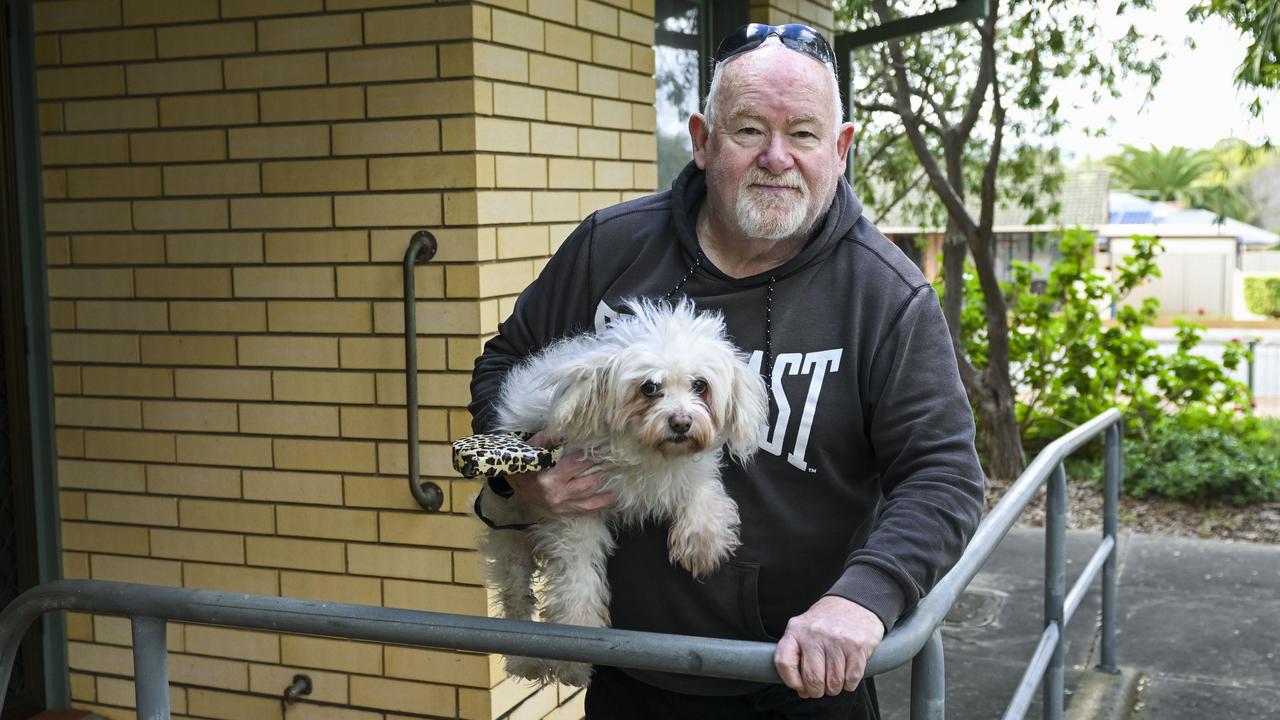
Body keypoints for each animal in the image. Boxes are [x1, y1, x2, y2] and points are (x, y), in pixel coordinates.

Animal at [476, 297, 762, 681]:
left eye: (700, 385)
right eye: (649, 387)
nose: (681, 422)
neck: (646, 453)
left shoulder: (688, 471)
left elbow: (702, 491)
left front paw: (703, 541)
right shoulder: (574, 516)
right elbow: (577, 582)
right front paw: (575, 647)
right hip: (509, 538)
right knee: (515, 599)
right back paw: (527, 660)